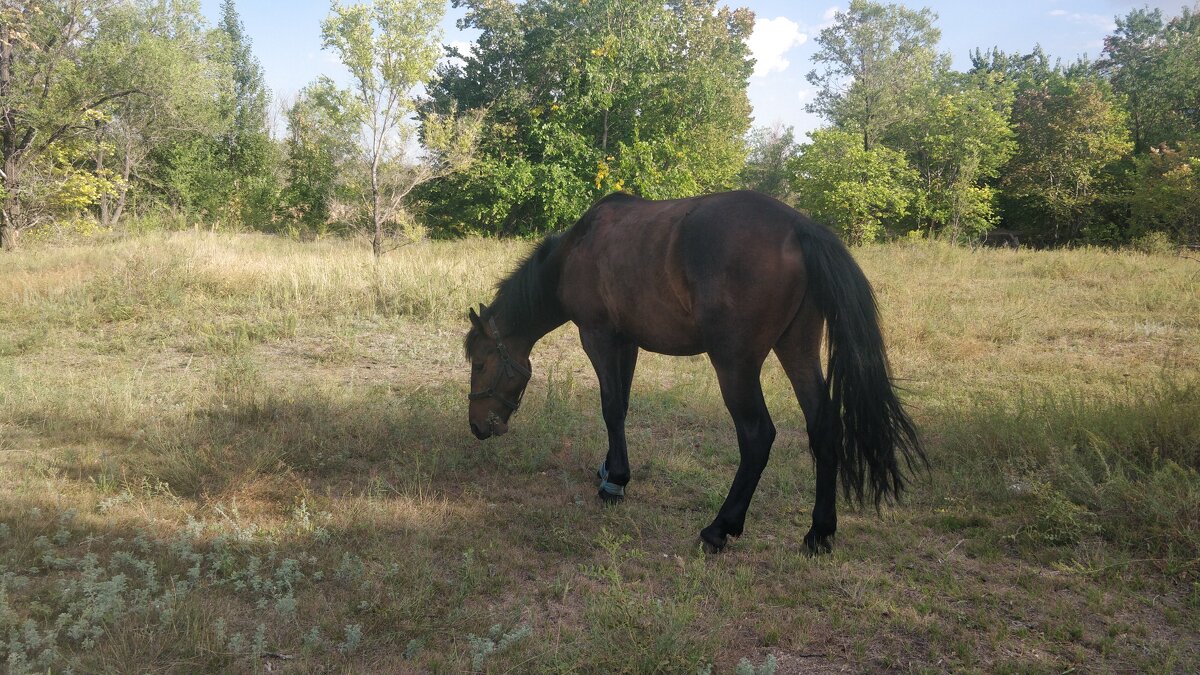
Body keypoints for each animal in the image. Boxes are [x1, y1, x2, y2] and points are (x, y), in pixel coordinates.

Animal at [463, 189, 921, 552]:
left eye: (481, 363)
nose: (477, 427)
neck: (577, 250)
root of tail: (800, 227)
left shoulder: (598, 337)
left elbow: (610, 407)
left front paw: (615, 482)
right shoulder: (627, 342)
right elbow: (621, 407)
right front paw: (612, 471)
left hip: (735, 365)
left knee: (757, 436)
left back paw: (719, 529)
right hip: (797, 348)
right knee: (823, 426)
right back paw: (819, 533)